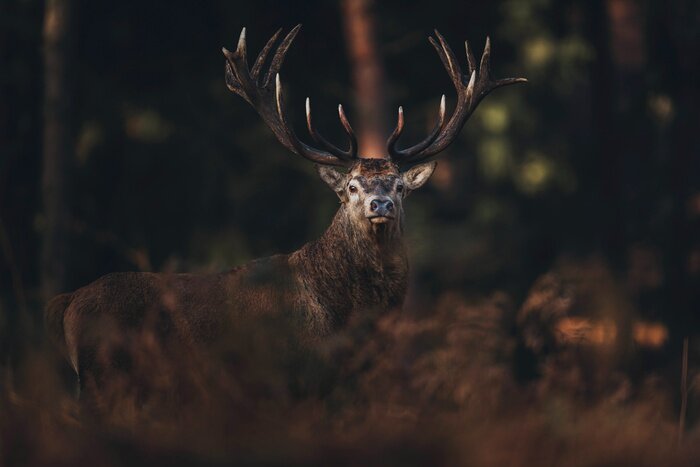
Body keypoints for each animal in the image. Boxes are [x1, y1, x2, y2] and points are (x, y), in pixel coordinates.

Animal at [45, 25, 525, 397]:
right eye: (351, 186)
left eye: (401, 186)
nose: (380, 203)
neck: (349, 317)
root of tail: (67, 304)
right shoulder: (295, 378)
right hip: (105, 378)